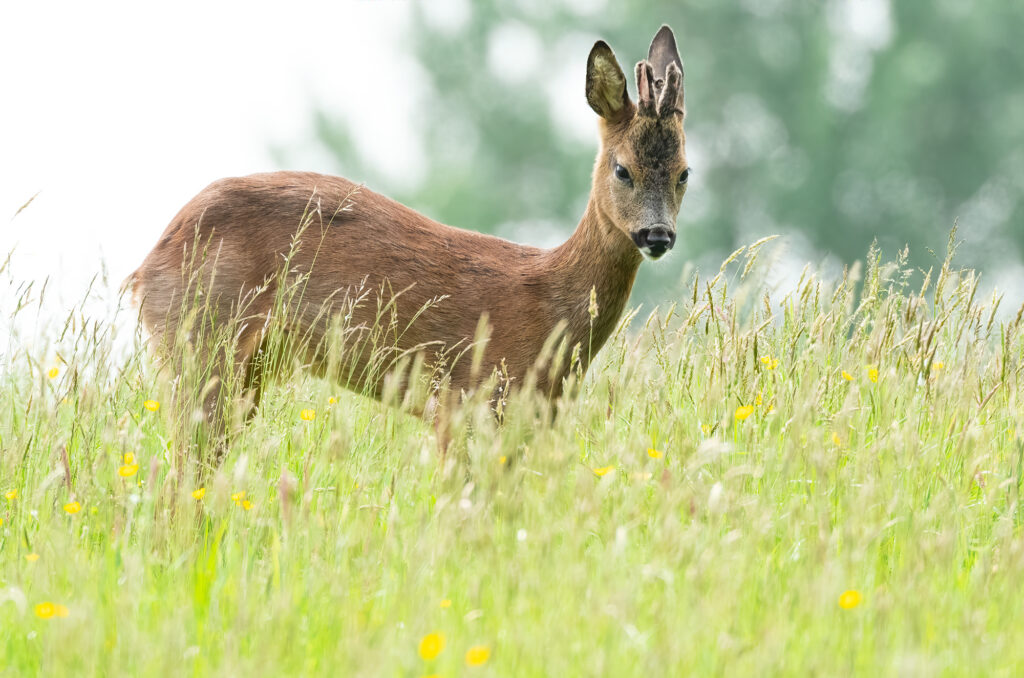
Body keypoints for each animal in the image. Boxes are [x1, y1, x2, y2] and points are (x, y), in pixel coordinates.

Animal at [125, 26, 688, 448]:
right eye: (622, 169)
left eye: (685, 172)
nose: (657, 234)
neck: (550, 305)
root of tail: (145, 265)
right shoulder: (466, 400)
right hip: (199, 341)